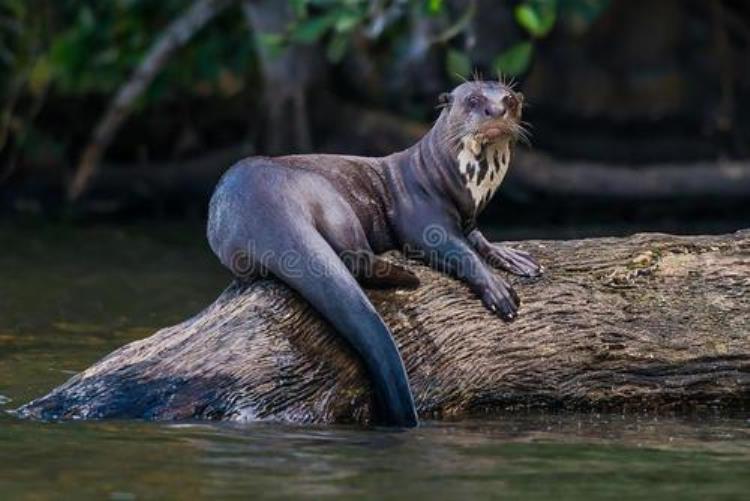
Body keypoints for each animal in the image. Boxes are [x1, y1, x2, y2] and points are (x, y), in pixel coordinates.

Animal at [209, 80, 544, 428]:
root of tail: (263, 203)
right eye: (474, 100)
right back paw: (408, 277)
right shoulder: (423, 218)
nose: (496, 110)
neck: (452, 181)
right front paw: (497, 290)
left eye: (509, 99)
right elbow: (457, 249)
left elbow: (477, 237)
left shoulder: (468, 219)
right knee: (355, 259)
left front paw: (512, 257)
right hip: (330, 198)